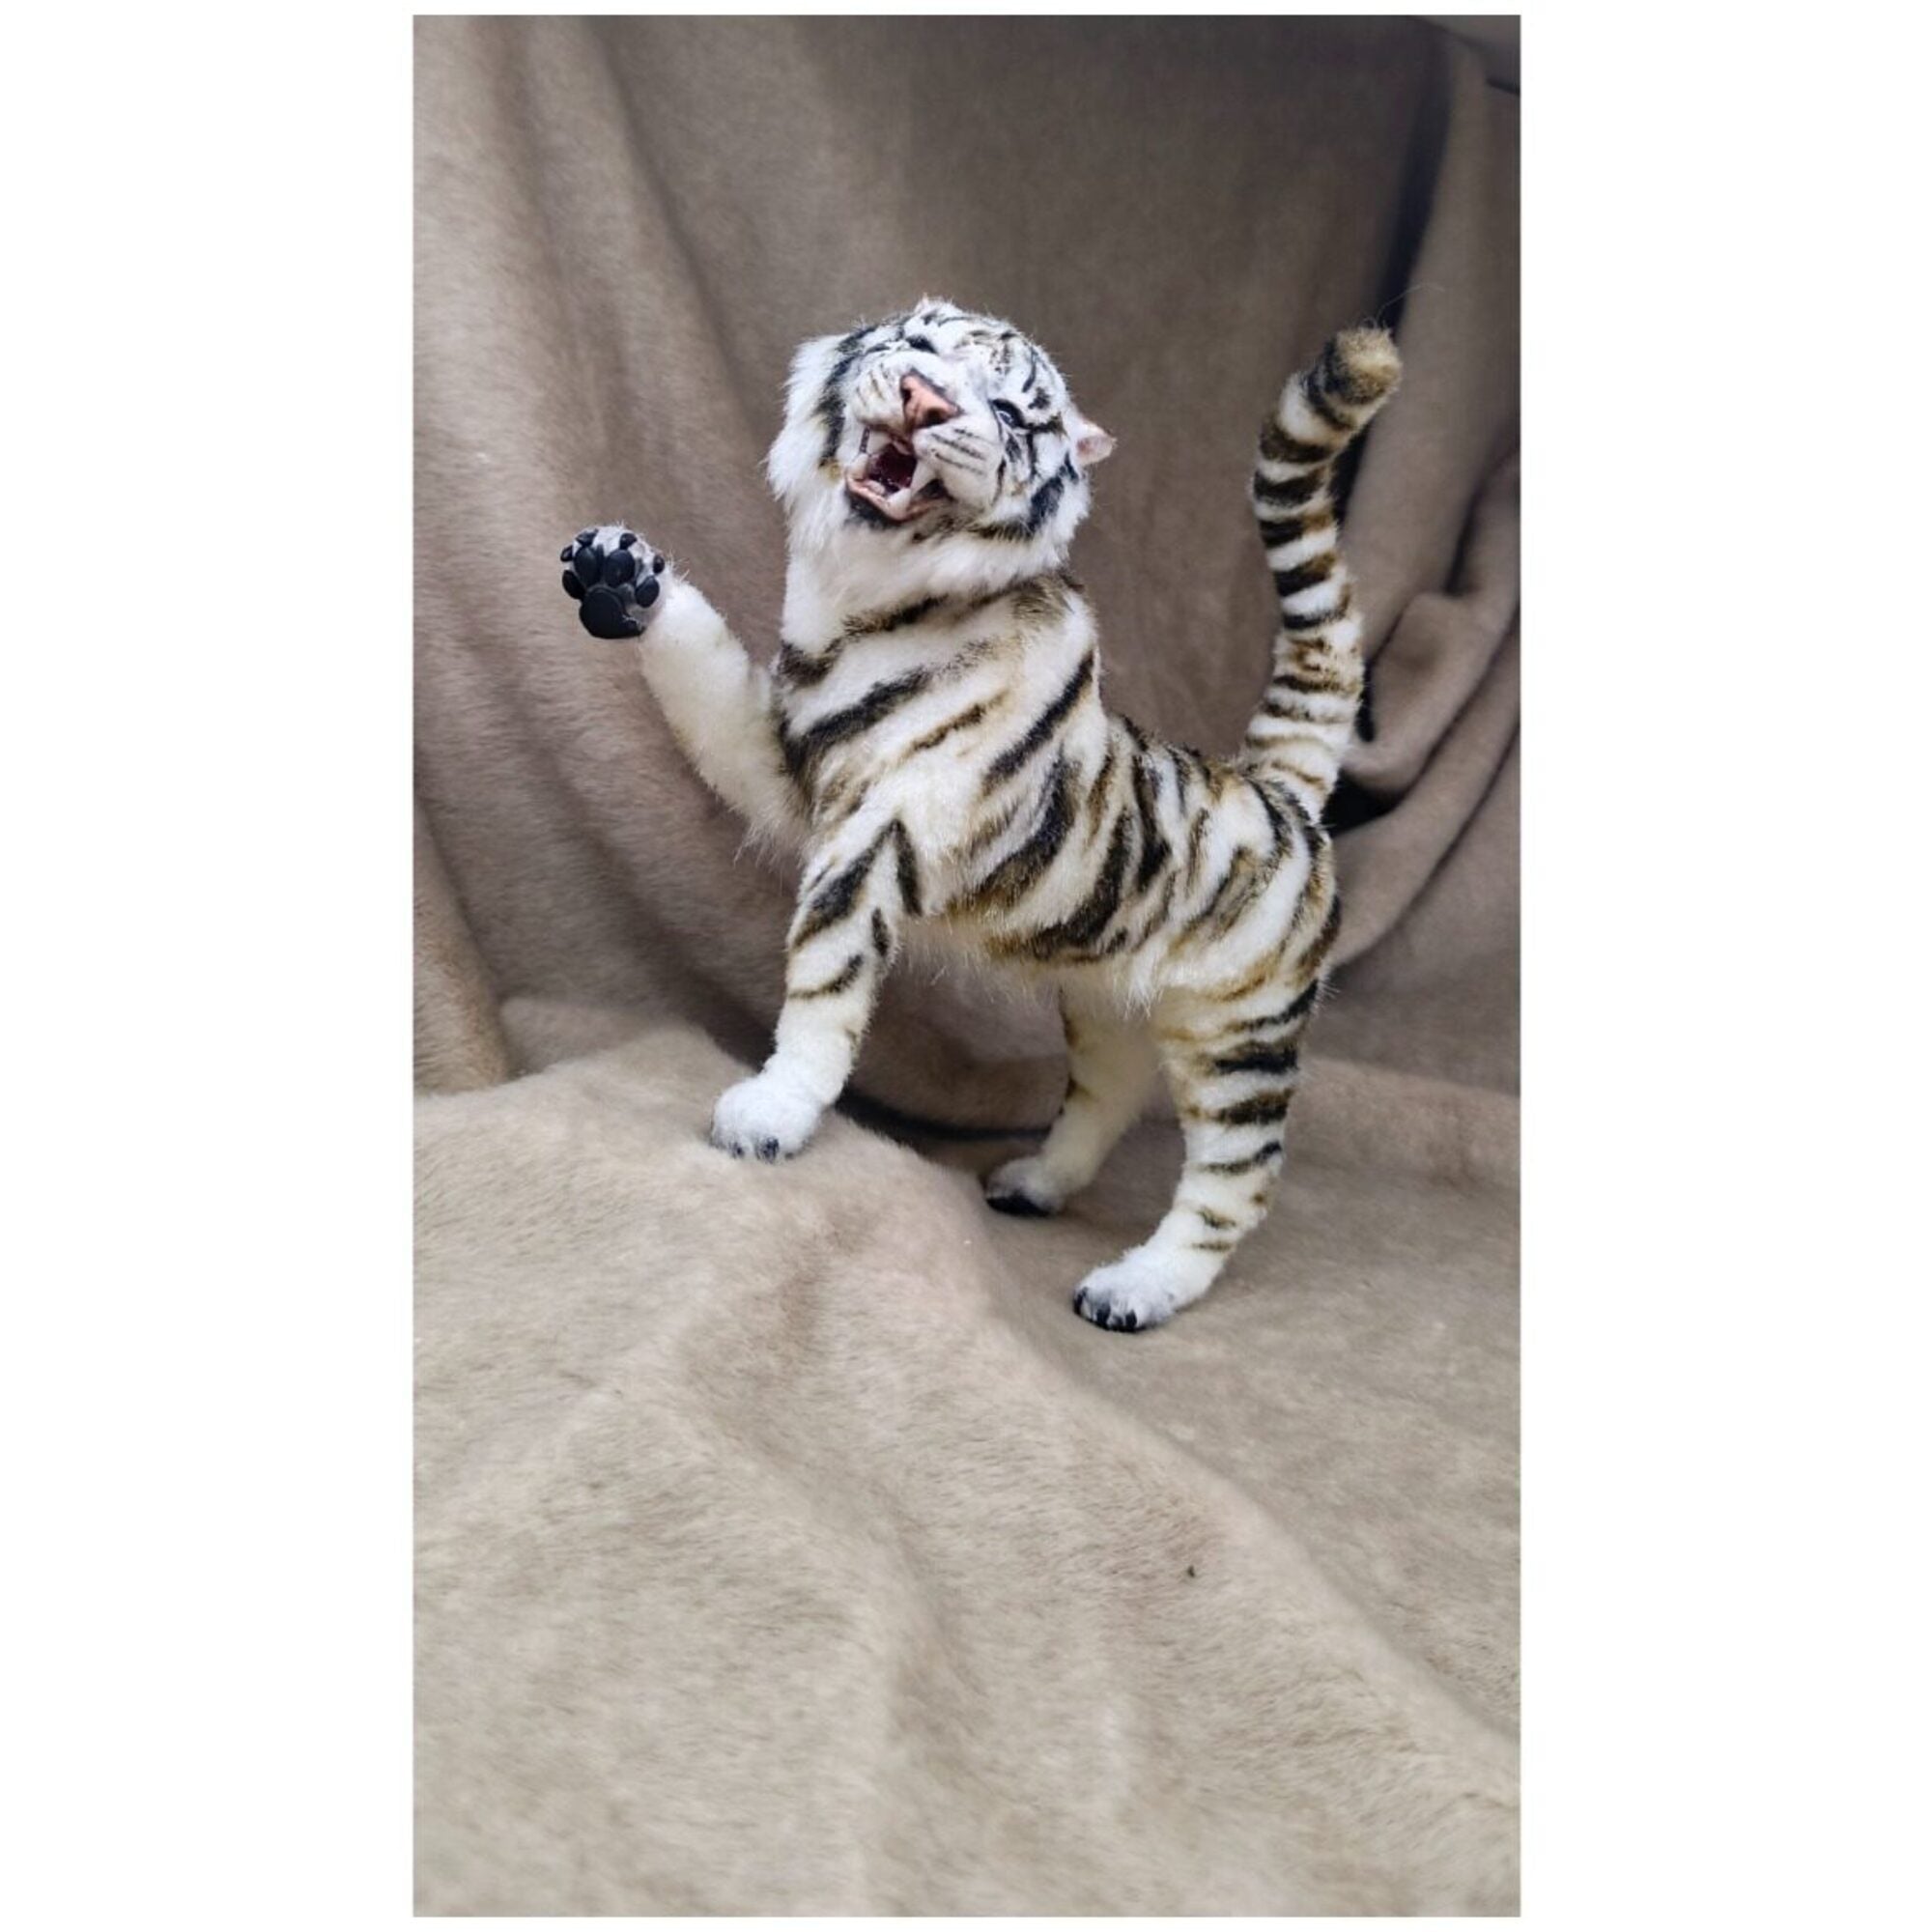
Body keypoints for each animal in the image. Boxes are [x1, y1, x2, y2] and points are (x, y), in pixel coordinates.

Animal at [558, 300, 1400, 1331]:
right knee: (1107, 1097)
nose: (925, 400)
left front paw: (772, 1114)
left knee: (1237, 1184)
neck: (865, 595)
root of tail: (1277, 787)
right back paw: (1034, 1184)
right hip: (1106, 1001)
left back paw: (1135, 1287)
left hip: (1239, 1038)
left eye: (1006, 410)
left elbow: (826, 984)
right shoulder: (776, 758)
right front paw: (622, 575)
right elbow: (702, 668)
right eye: (920, 348)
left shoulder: (875, 831)